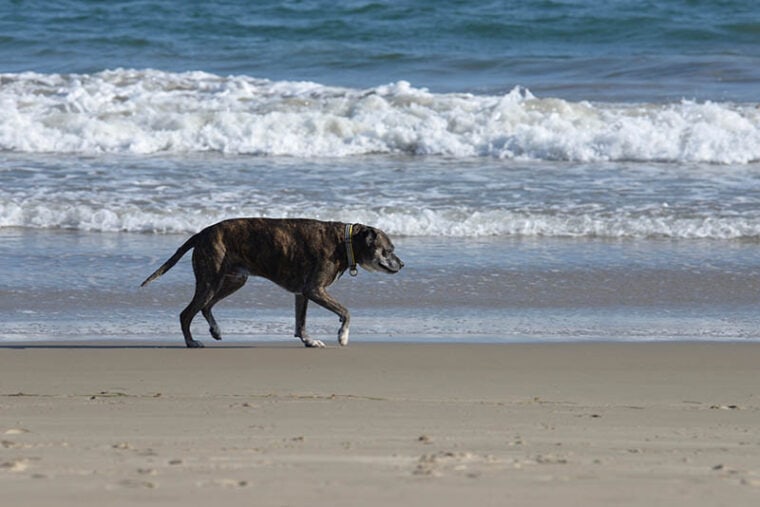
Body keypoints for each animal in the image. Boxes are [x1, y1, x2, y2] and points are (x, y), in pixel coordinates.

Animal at [141, 218, 404, 350]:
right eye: (388, 250)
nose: (402, 264)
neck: (345, 240)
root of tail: (202, 233)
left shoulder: (303, 294)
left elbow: (301, 323)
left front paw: (308, 341)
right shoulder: (314, 290)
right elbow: (346, 312)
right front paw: (343, 336)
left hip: (234, 280)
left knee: (206, 307)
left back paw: (215, 330)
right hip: (210, 281)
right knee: (187, 313)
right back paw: (191, 342)